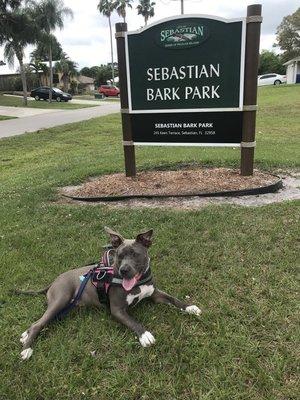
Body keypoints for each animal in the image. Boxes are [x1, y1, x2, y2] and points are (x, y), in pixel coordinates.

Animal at [18, 227, 202, 360]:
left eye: (135, 254)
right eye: (119, 255)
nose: (124, 270)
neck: (138, 283)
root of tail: (54, 281)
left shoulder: (155, 294)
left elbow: (174, 299)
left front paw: (190, 307)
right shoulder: (117, 310)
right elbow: (133, 321)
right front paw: (145, 335)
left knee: (40, 321)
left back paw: (25, 336)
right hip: (61, 299)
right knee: (38, 323)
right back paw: (27, 349)